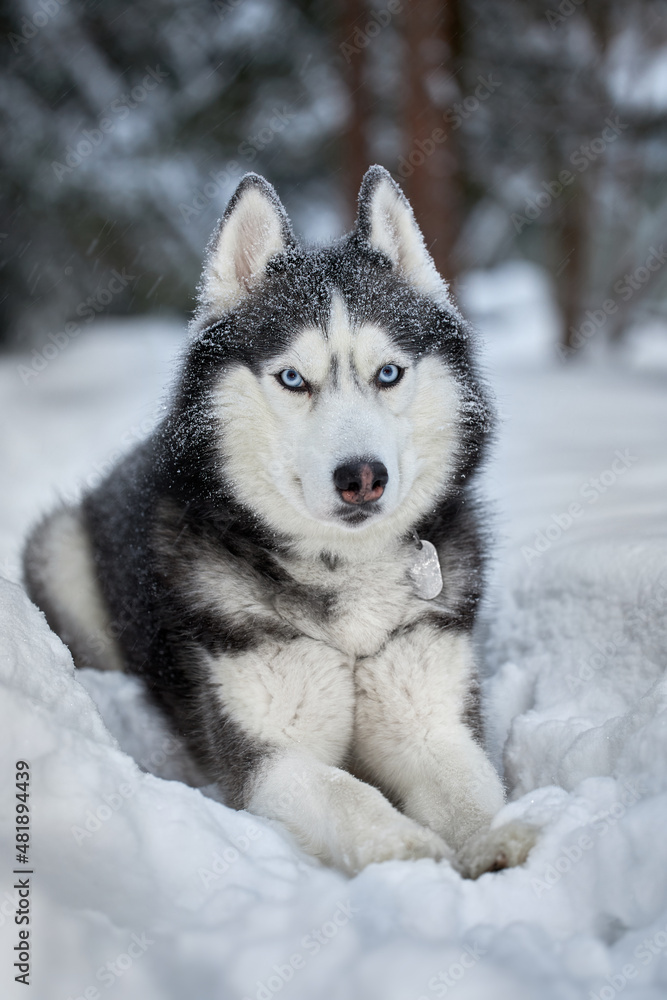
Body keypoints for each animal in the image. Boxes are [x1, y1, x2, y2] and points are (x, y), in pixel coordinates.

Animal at [23, 164, 536, 876]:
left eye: (388, 373)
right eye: (294, 378)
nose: (362, 476)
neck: (343, 575)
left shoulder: (430, 718)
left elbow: (468, 789)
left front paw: (495, 840)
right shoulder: (270, 757)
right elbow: (348, 794)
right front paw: (408, 851)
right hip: (60, 551)